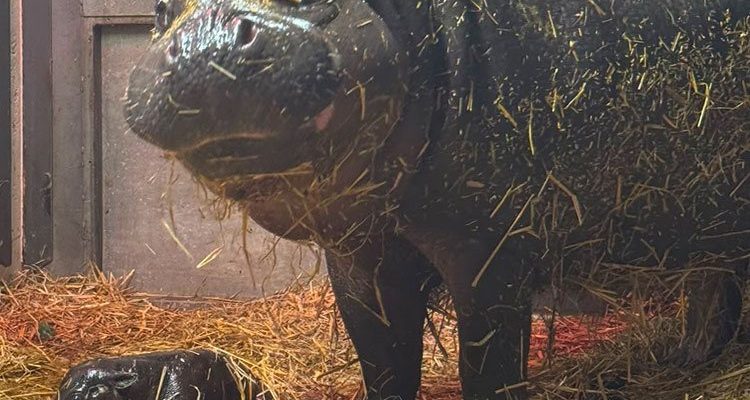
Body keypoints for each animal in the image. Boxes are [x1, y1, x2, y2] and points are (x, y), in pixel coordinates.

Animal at [124, 0, 750, 399]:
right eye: (160, 9)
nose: (206, 36)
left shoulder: (489, 251)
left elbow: (488, 368)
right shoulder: (359, 258)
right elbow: (384, 363)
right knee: (714, 293)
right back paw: (676, 364)